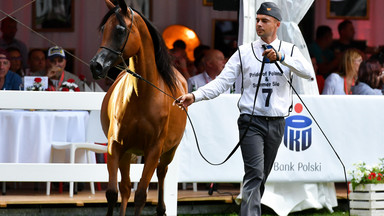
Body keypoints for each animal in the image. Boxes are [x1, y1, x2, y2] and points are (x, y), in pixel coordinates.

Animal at [89, 0, 188, 215]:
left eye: (120, 30)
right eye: (103, 29)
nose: (95, 66)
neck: (142, 96)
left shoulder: (153, 151)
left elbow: (141, 195)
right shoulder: (115, 146)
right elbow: (112, 193)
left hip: (169, 152)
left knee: (161, 173)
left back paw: (161, 208)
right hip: (128, 153)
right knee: (126, 188)